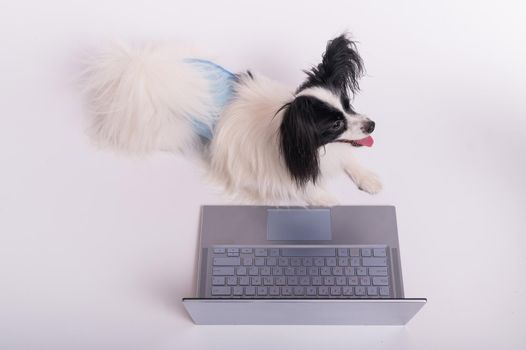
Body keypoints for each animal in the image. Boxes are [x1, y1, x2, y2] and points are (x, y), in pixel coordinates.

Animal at [85, 33, 384, 204]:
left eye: (348, 105)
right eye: (335, 124)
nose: (372, 125)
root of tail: (146, 68)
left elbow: (350, 159)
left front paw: (368, 178)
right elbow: (300, 189)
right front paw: (327, 199)